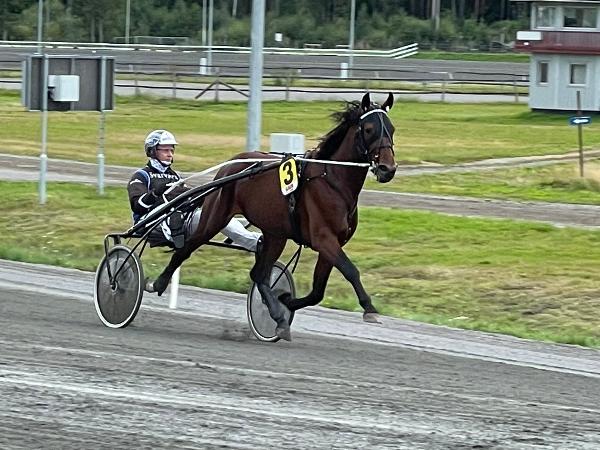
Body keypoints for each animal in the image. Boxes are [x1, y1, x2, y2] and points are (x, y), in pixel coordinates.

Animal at [147, 92, 397, 341]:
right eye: (369, 129)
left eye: (392, 129)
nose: (388, 168)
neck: (332, 181)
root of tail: (232, 164)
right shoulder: (324, 239)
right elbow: (351, 271)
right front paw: (370, 309)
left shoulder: (334, 242)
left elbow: (317, 291)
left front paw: (285, 300)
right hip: (214, 218)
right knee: (185, 249)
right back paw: (158, 283)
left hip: (275, 234)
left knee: (259, 274)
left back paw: (278, 317)